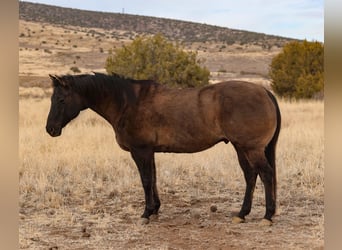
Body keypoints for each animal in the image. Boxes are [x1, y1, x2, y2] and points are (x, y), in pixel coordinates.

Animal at [45, 72, 280, 225]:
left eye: (61, 99)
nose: (50, 129)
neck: (127, 103)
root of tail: (264, 91)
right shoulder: (150, 152)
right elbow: (154, 179)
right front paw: (155, 209)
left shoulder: (140, 151)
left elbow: (146, 180)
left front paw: (146, 213)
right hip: (241, 148)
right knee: (251, 176)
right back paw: (242, 214)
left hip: (251, 149)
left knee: (266, 174)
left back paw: (267, 216)